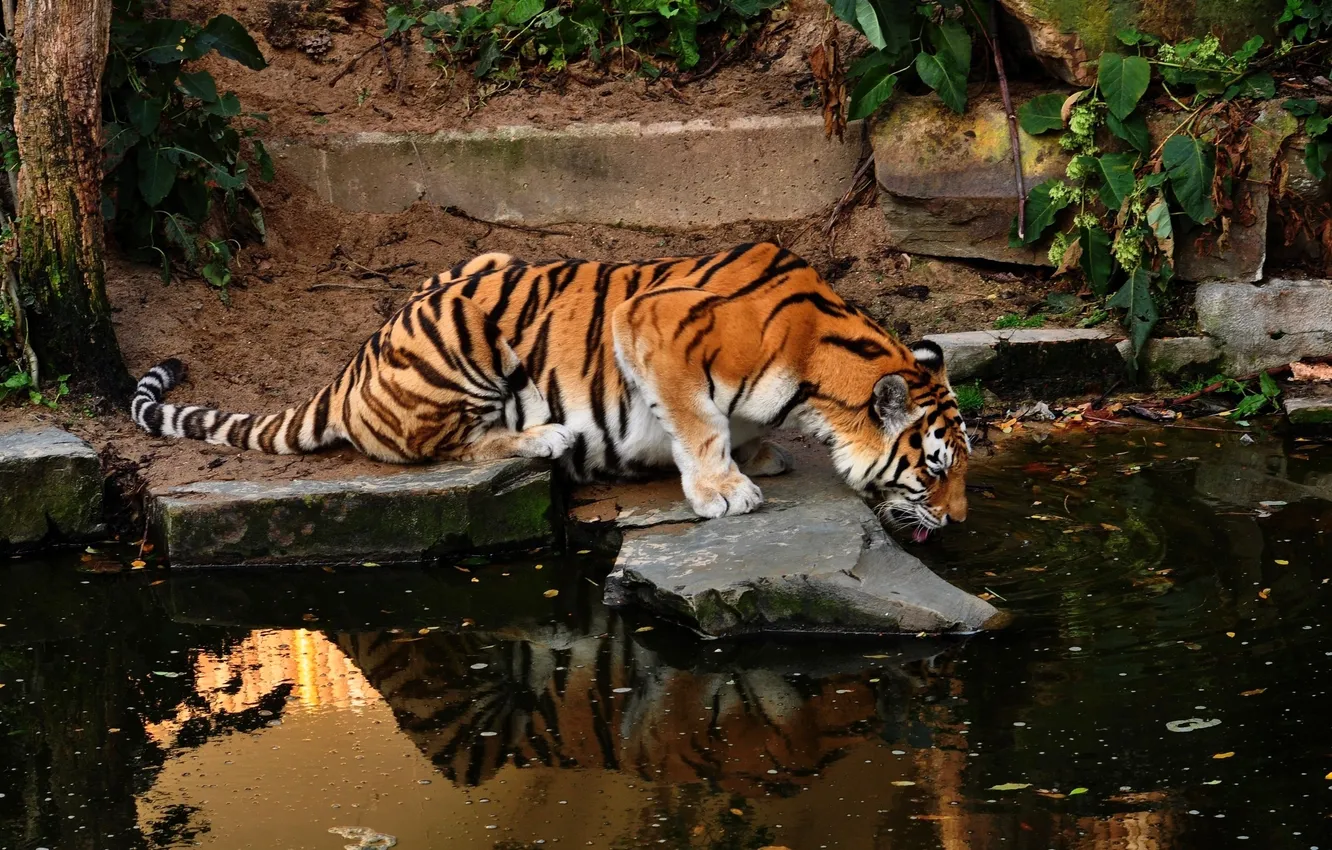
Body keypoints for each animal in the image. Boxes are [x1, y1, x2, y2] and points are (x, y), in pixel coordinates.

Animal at [131, 242, 970, 529]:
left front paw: (756, 454)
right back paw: (545, 436)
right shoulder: (654, 324)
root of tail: (353, 365)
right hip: (461, 331)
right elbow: (698, 422)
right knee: (436, 448)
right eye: (933, 472)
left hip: (483, 262)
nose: (960, 522)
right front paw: (724, 489)